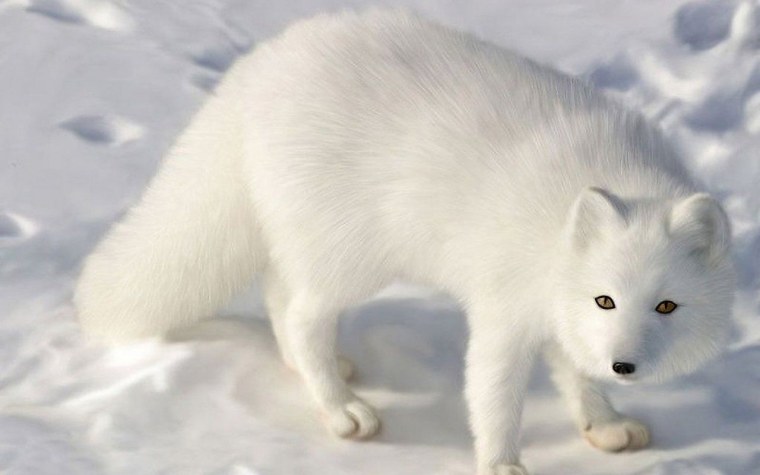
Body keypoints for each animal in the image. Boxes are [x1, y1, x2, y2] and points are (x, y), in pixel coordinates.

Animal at [74, 9, 736, 475]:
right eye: (606, 299)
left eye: (666, 306)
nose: (625, 364)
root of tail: (260, 64)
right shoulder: (504, 310)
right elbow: (495, 396)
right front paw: (501, 463)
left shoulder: (553, 311)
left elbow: (577, 375)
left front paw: (604, 424)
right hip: (351, 255)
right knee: (301, 313)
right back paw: (339, 407)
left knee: (280, 295)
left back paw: (316, 371)